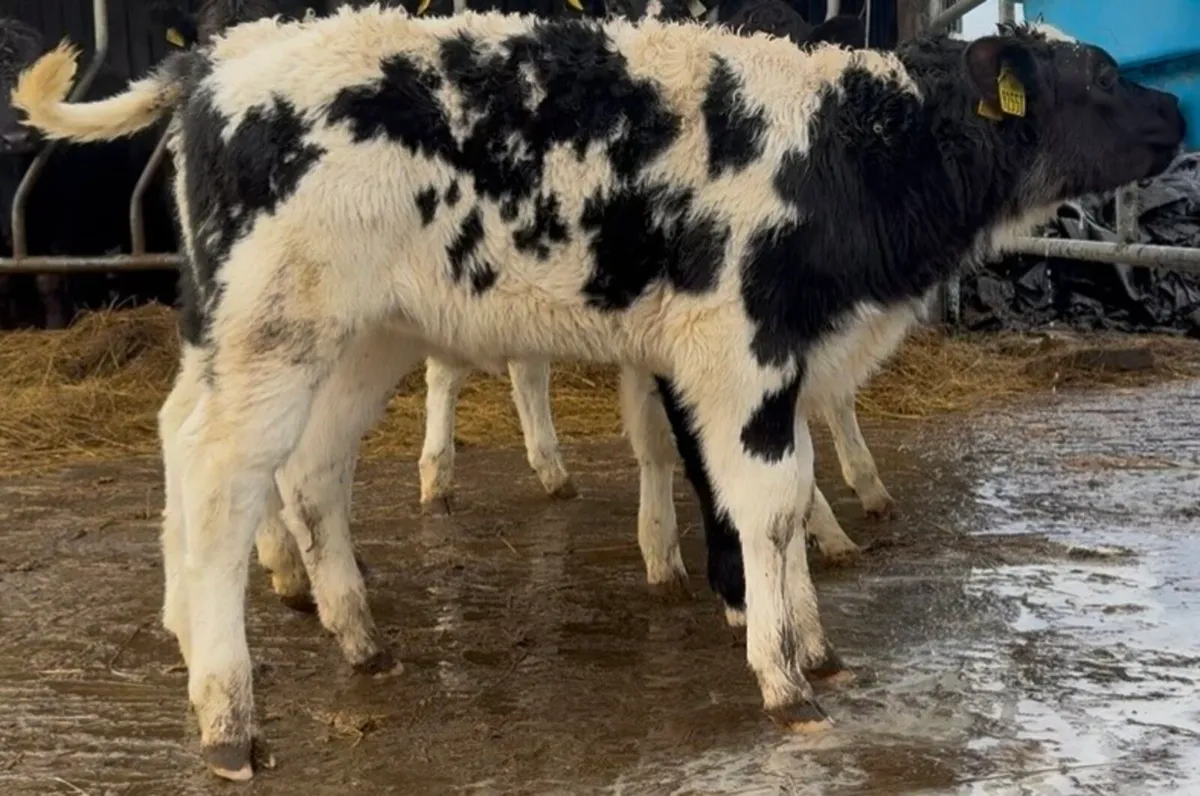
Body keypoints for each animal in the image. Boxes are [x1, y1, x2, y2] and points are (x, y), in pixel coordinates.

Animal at [13, 6, 1184, 780]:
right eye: (1097, 75)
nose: (1177, 106)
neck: (846, 151)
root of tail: (218, 59)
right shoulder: (741, 344)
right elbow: (768, 501)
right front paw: (785, 673)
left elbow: (786, 495)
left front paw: (811, 640)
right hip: (274, 325)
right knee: (218, 474)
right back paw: (226, 712)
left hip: (359, 334)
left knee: (298, 470)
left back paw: (356, 635)